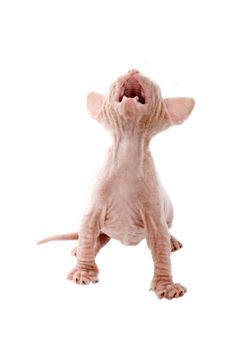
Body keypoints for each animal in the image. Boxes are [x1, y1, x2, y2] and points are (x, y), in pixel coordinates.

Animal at [38, 69, 195, 300]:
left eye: (153, 83)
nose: (133, 69)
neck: (128, 146)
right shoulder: (93, 207)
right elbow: (87, 232)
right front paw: (83, 271)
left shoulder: (154, 214)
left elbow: (161, 249)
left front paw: (166, 285)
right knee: (94, 239)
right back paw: (80, 249)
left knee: (165, 233)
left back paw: (172, 241)